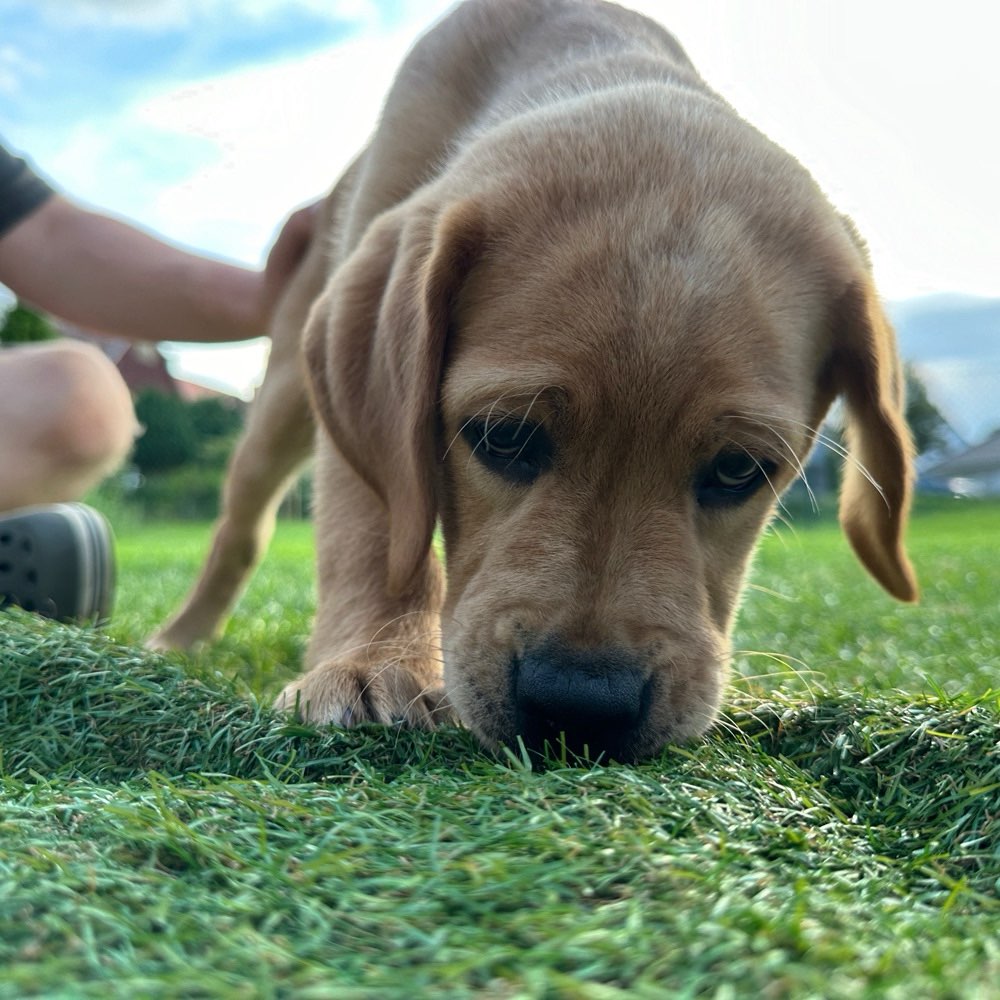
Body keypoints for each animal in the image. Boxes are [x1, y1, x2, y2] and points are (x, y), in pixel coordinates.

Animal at [148, 0, 916, 760]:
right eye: (503, 437)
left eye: (738, 469)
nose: (582, 707)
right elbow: (371, 529)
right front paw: (373, 662)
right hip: (283, 393)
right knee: (241, 530)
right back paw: (178, 639)